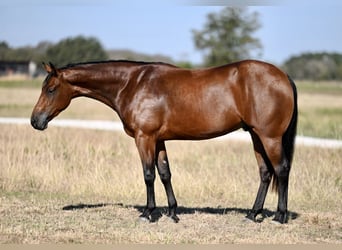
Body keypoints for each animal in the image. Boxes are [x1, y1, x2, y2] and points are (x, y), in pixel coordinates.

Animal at [30, 59, 296, 224]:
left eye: (51, 89)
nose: (35, 121)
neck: (132, 84)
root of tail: (283, 75)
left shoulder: (144, 138)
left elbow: (148, 174)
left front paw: (148, 213)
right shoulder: (158, 140)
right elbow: (165, 173)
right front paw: (172, 212)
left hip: (269, 137)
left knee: (281, 169)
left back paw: (279, 216)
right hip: (255, 136)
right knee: (265, 173)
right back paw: (252, 214)